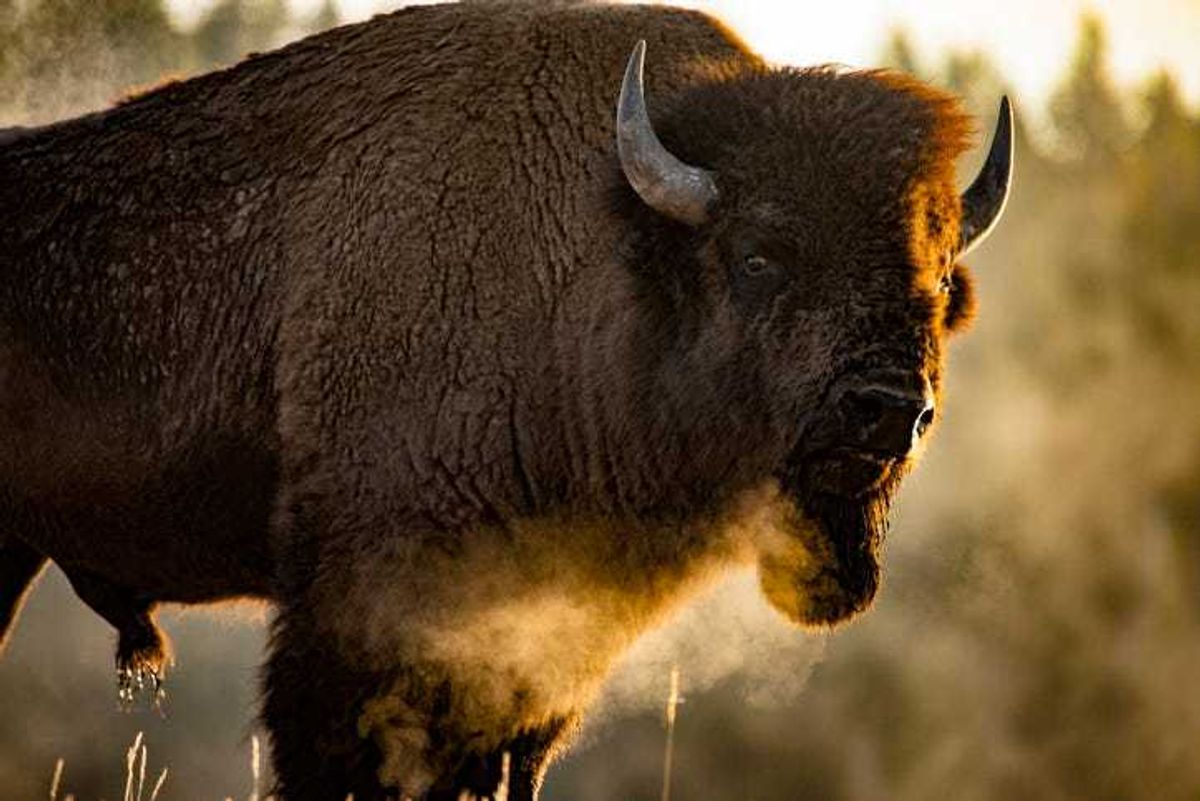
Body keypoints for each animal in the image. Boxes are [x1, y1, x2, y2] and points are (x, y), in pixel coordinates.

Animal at [0, 2, 1012, 799]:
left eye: (937, 282)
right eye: (761, 254)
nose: (889, 407)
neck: (602, 258)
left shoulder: (540, 638)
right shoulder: (361, 610)